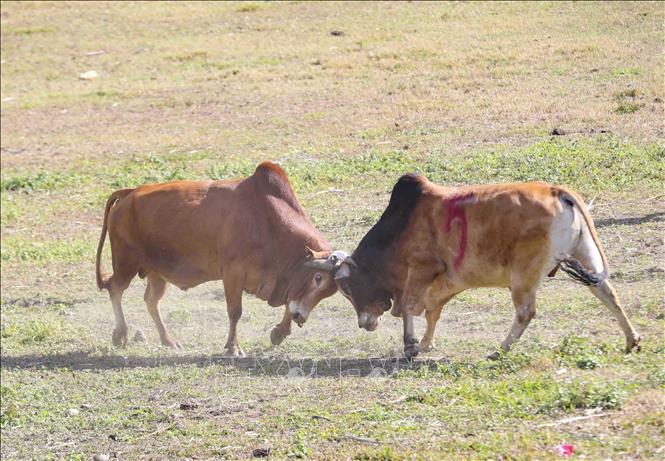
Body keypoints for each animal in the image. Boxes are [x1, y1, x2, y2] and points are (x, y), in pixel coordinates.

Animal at [95, 161, 346, 356]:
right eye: (317, 278)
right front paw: (233, 347)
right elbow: (235, 311)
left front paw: (279, 332)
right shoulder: (233, 273)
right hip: (126, 263)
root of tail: (129, 193)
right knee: (115, 289)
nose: (301, 317)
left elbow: (288, 301)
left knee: (151, 301)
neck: (267, 222)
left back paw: (168, 340)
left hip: (157, 273)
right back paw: (121, 334)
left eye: (328, 291)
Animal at [334, 174, 641, 359]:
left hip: (523, 276)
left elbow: (410, 308)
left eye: (347, 288)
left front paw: (411, 345)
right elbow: (432, 312)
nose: (363, 323)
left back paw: (501, 350)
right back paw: (631, 339)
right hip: (586, 256)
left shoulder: (422, 269)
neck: (401, 226)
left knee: (526, 312)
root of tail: (556, 191)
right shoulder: (442, 284)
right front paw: (425, 343)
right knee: (608, 294)